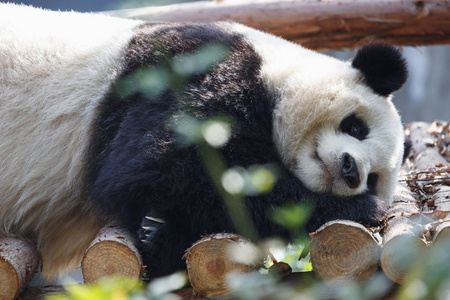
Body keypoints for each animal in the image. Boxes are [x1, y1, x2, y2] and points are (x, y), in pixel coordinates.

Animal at [0, 3, 408, 278]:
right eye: (357, 127)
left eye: (373, 178)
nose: (351, 171)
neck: (272, 71)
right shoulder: (191, 69)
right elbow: (161, 167)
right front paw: (363, 209)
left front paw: (157, 234)